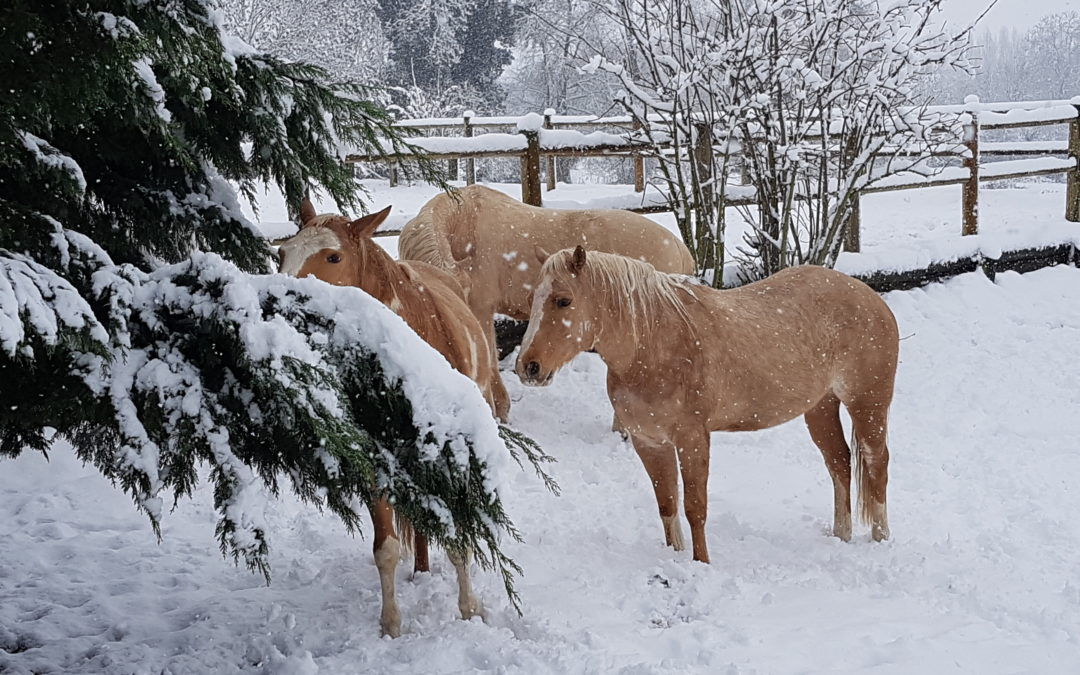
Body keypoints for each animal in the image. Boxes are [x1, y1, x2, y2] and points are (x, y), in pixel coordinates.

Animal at [274, 199, 501, 635]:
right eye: (282, 253)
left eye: (333, 257)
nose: (279, 304)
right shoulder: (375, 462)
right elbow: (386, 549)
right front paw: (391, 625)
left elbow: (458, 538)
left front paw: (469, 609)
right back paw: (421, 572)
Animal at [514, 245, 894, 561]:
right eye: (533, 298)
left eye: (564, 301)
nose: (527, 367)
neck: (652, 345)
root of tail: (869, 296)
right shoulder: (649, 441)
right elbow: (667, 504)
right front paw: (676, 559)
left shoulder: (693, 438)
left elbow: (695, 507)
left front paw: (702, 564)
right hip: (820, 407)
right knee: (839, 462)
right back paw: (841, 535)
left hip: (868, 404)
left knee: (876, 461)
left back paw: (880, 538)